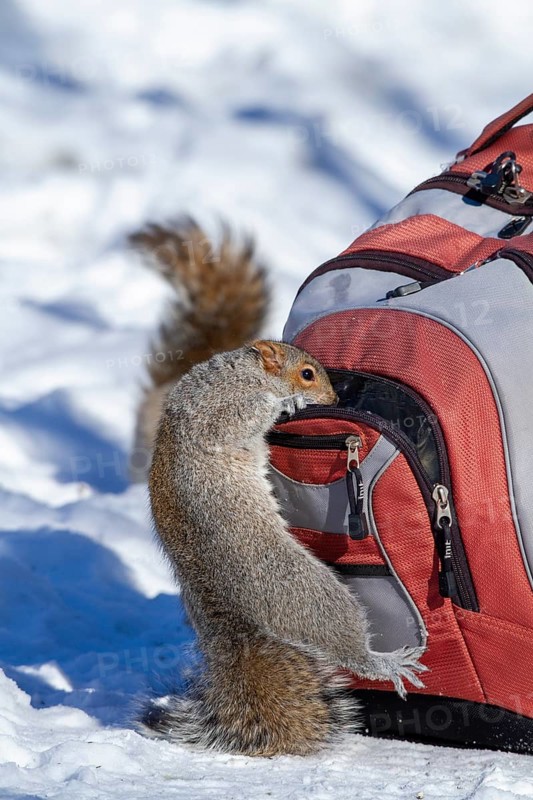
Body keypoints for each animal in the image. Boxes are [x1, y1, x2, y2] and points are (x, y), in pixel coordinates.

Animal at [140, 338, 427, 756]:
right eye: (307, 374)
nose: (332, 398)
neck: (246, 373)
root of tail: (236, 615)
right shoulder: (214, 413)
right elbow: (245, 416)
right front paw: (290, 402)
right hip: (303, 590)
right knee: (345, 645)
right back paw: (382, 663)